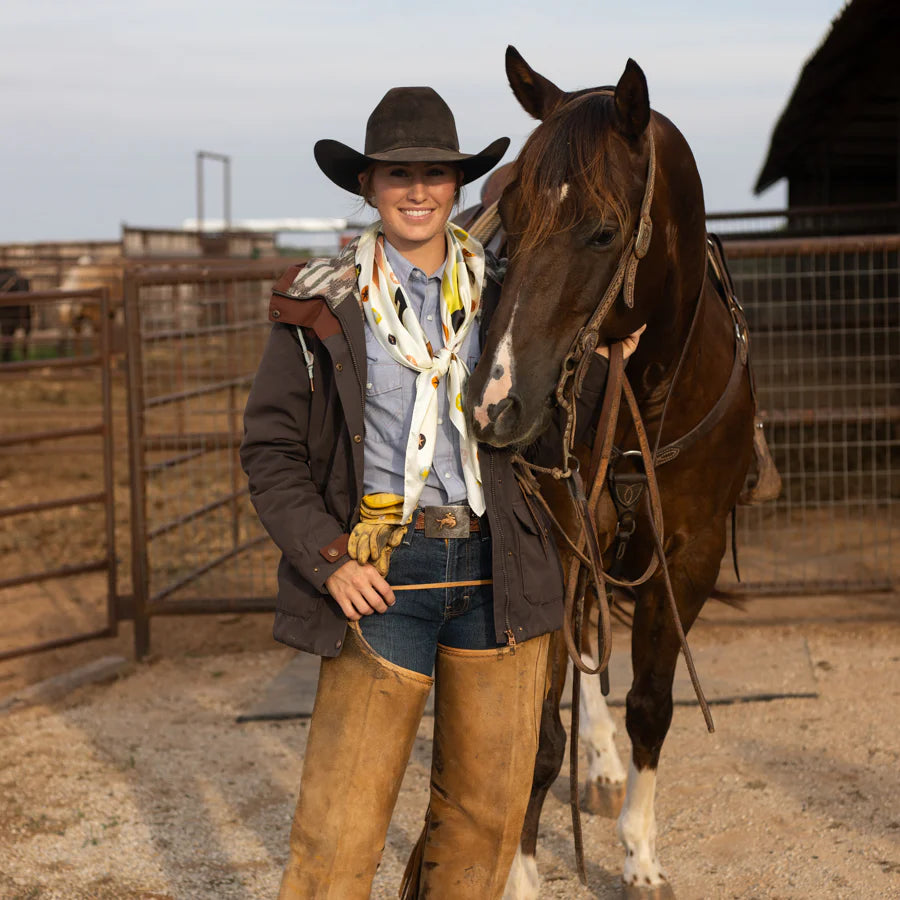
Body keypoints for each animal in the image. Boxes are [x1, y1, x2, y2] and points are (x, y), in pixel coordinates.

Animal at [464, 51, 760, 900]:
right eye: (512, 220)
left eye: (602, 230)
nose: (494, 404)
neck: (648, 399)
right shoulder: (555, 544)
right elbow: (535, 734)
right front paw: (520, 875)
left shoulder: (688, 555)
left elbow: (651, 706)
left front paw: (639, 856)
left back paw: (601, 769)